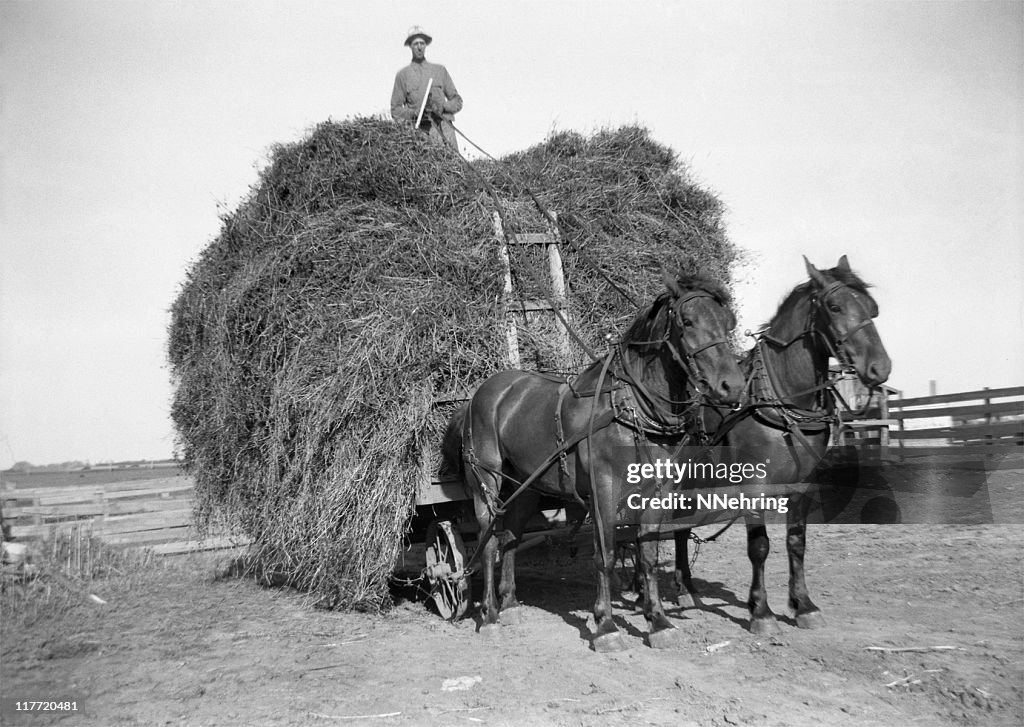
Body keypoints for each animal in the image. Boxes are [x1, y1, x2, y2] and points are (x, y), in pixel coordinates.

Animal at [444, 274, 749, 655]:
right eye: (687, 322)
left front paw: (659, 622)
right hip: (486, 479)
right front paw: (605, 625)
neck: (630, 406)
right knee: (488, 542)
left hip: (524, 486)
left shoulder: (657, 490)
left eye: (727, 322)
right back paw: (489, 616)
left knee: (510, 536)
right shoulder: (604, 487)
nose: (732, 386)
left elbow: (648, 554)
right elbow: (605, 554)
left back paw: (510, 604)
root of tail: (478, 395)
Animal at [671, 259, 888, 634]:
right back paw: (681, 589)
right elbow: (759, 545)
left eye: (871, 308)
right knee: (676, 530)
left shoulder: (802, 484)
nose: (880, 367)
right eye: (834, 307)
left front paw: (804, 605)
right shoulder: (754, 485)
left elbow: (796, 542)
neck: (781, 398)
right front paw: (761, 611)